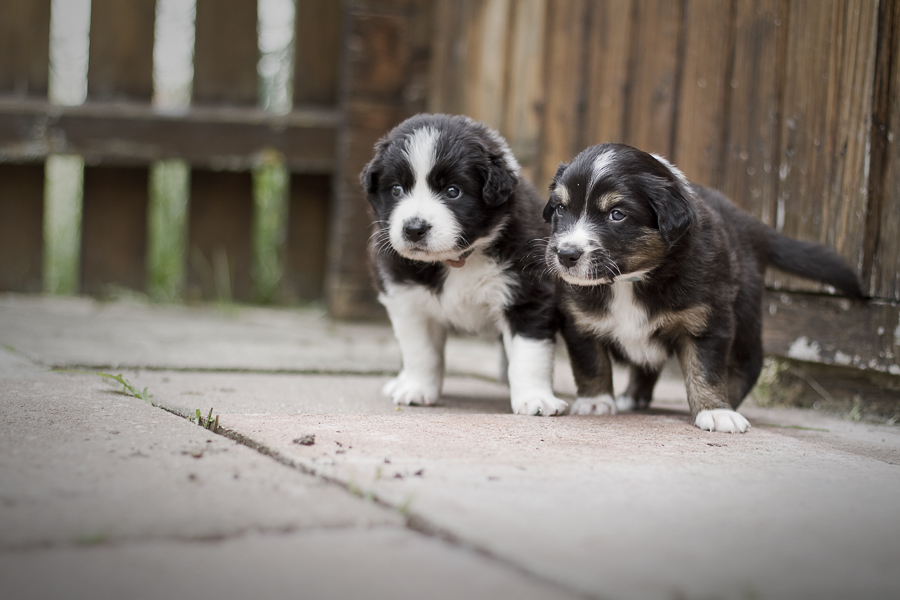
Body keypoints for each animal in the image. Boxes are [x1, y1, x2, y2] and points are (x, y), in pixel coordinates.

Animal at [360, 112, 568, 414]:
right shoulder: (407, 300)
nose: (414, 229)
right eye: (397, 189)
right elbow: (420, 351)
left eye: (452, 191)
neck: (457, 260)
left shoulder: (528, 296)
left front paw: (536, 399)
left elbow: (530, 355)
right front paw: (416, 389)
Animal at [540, 142, 864, 432]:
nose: (566, 254)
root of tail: (753, 224)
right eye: (560, 209)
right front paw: (596, 402)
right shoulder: (579, 321)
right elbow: (590, 362)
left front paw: (716, 411)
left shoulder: (707, 321)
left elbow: (706, 370)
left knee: (748, 364)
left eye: (616, 214)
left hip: (745, 315)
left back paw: (729, 403)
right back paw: (632, 397)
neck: (629, 281)